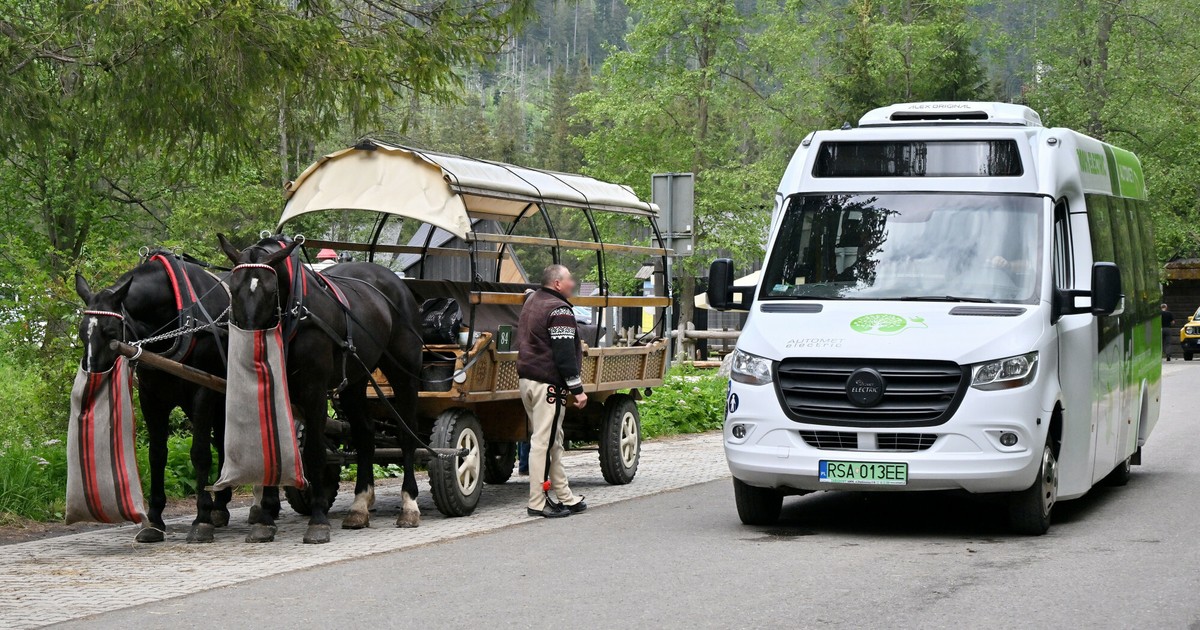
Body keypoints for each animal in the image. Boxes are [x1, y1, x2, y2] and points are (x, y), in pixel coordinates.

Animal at [75, 253, 280, 542]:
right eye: (83, 333)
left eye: (112, 333)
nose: (92, 379)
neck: (179, 316)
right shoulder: (152, 397)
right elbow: (157, 454)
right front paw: (154, 519)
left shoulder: (203, 391)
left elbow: (200, 453)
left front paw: (201, 518)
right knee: (224, 441)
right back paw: (222, 506)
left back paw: (266, 505)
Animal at [220, 232, 427, 542]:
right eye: (233, 289)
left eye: (270, 291)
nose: (249, 346)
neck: (295, 313)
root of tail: (395, 283)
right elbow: (274, 452)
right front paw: (264, 518)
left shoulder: (314, 391)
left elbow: (314, 452)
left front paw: (317, 518)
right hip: (355, 381)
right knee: (365, 435)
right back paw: (359, 506)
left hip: (404, 374)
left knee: (407, 434)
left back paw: (409, 505)